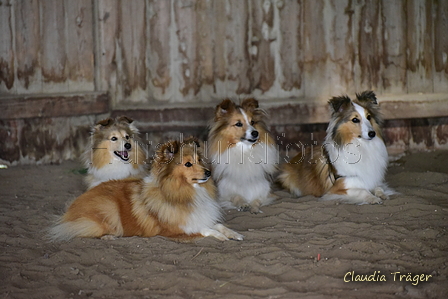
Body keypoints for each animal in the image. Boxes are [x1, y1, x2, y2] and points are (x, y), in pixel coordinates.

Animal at [47, 138, 243, 241]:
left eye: (199, 160)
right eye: (188, 164)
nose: (209, 173)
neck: (184, 191)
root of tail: (70, 211)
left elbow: (217, 224)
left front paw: (233, 233)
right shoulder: (175, 229)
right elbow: (205, 229)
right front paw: (220, 236)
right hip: (108, 208)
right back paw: (109, 236)